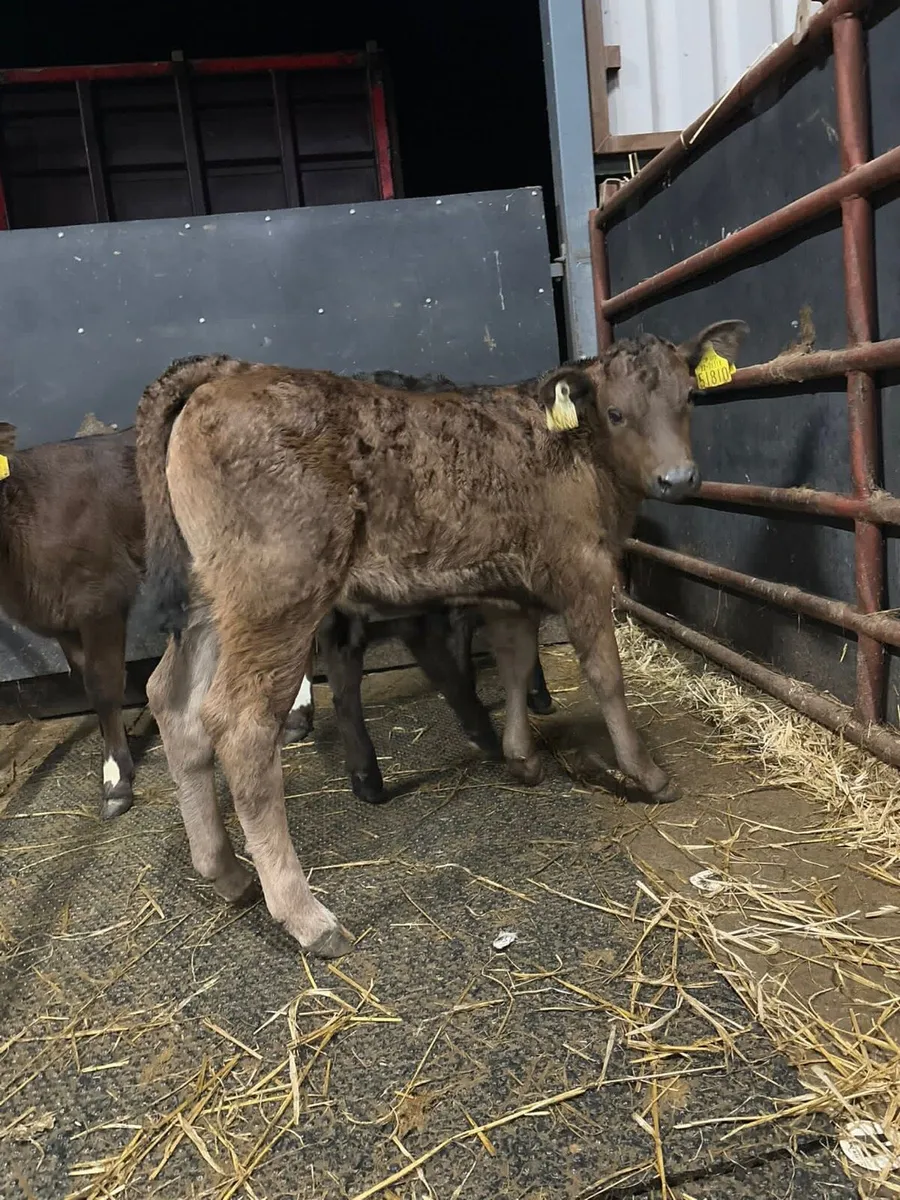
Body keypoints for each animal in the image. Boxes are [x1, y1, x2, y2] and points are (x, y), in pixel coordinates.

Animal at [135, 320, 747, 958]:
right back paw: (306, 916)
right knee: (240, 724)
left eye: (689, 397)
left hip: (210, 599)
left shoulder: (509, 588)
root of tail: (231, 371)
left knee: (171, 702)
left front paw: (521, 758)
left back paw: (226, 871)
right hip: (277, 594)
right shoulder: (583, 570)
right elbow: (606, 674)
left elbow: (516, 660)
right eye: (616, 412)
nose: (678, 478)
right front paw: (645, 773)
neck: (577, 453)